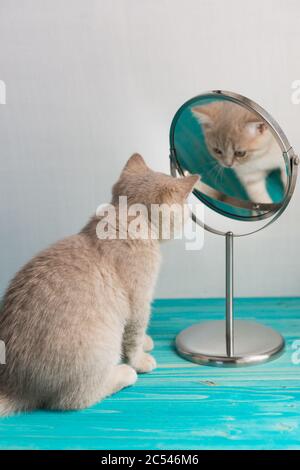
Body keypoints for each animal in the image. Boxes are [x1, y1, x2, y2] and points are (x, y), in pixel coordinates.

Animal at [0, 154, 198, 414]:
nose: (191, 214)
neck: (127, 218)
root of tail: (15, 385)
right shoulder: (140, 302)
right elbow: (134, 334)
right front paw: (139, 360)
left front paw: (145, 343)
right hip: (100, 352)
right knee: (73, 399)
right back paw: (124, 373)